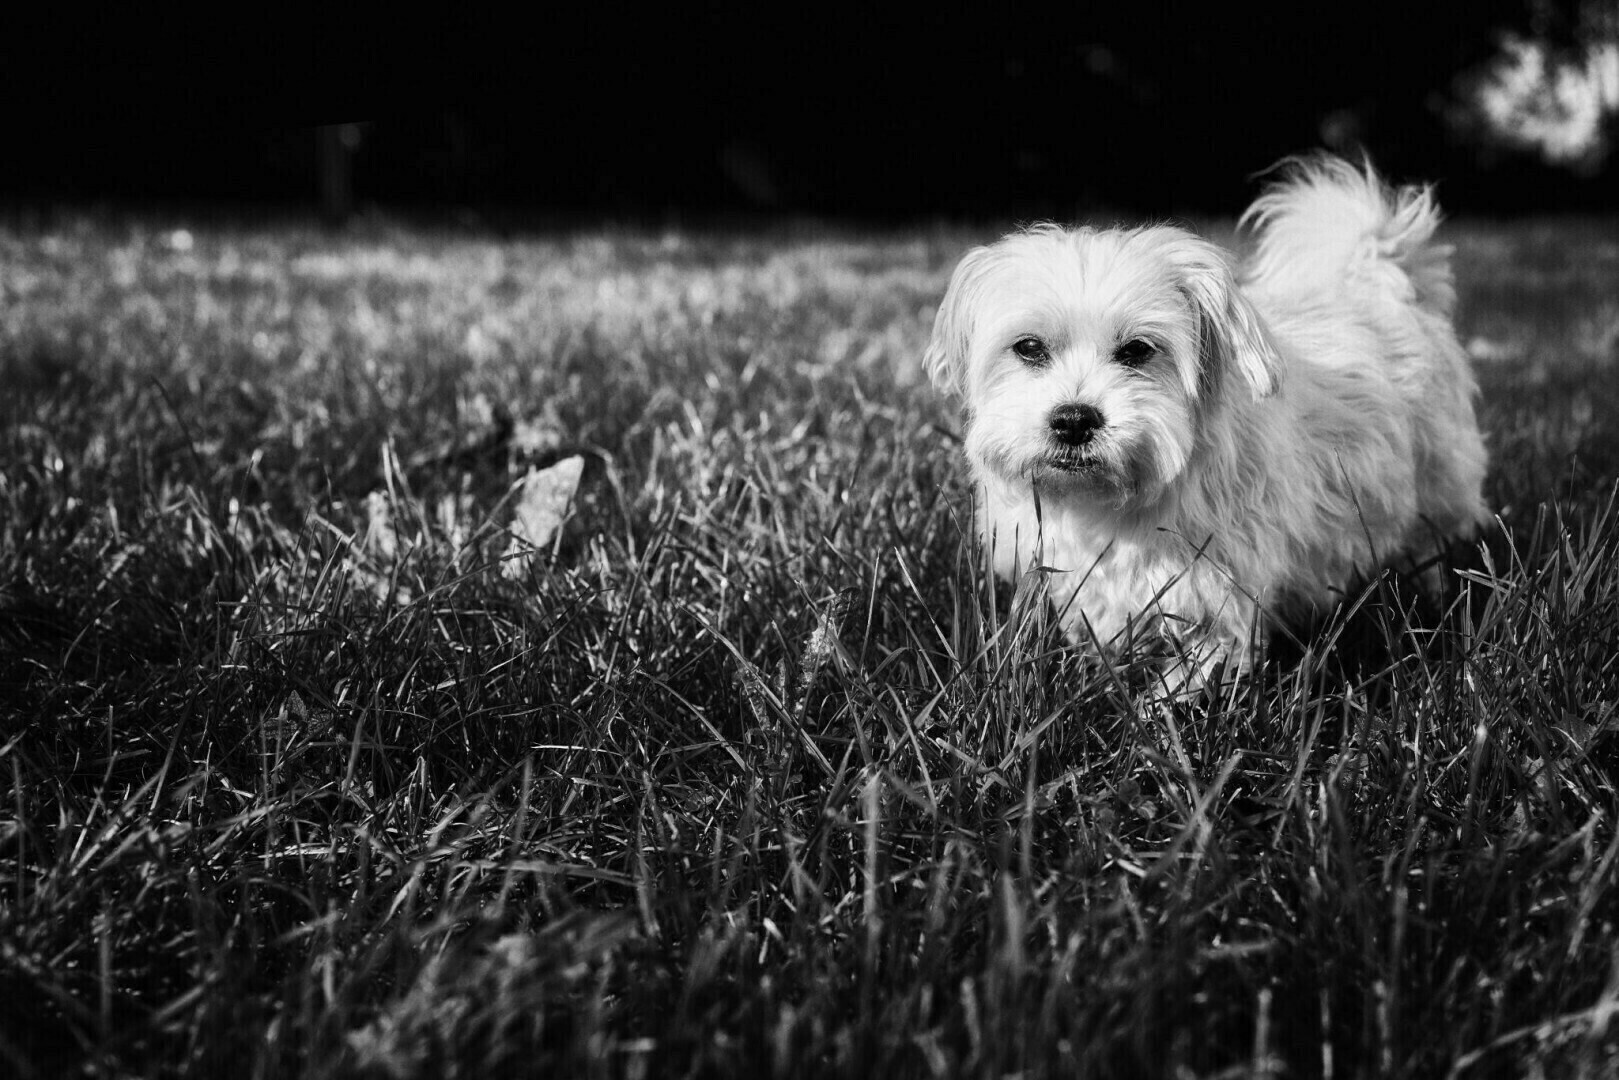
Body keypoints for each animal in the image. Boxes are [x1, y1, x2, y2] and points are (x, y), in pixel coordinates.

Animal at [926, 156, 1489, 689]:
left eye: (1138, 350)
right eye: (1028, 347)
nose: (1073, 419)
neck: (1109, 504)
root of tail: (1379, 281)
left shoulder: (1218, 600)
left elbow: (1186, 683)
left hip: (1436, 485)